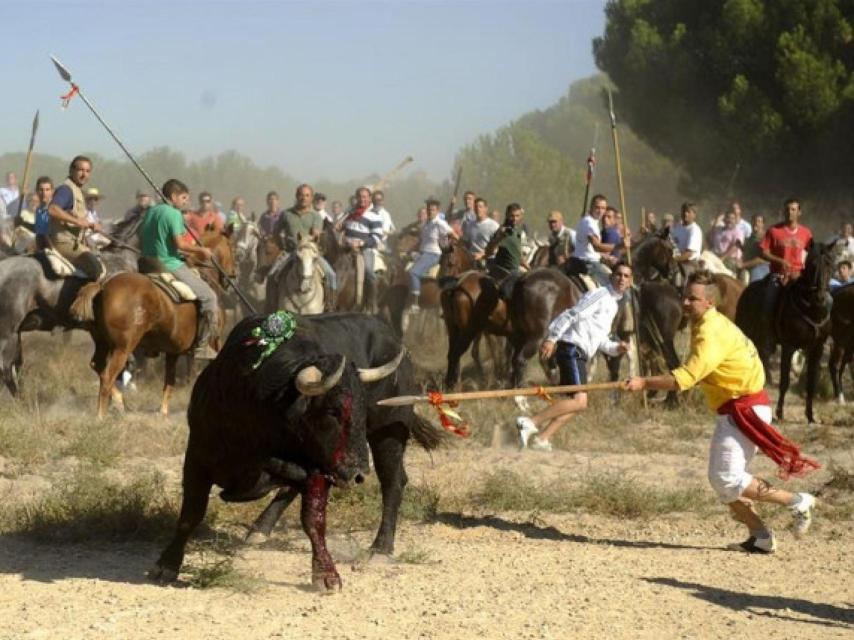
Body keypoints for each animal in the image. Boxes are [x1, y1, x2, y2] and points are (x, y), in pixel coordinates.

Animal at [70, 232, 236, 418]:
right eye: (232, 247)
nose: (233, 274)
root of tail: (102, 285)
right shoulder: (215, 342)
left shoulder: (173, 351)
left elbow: (169, 381)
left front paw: (163, 411)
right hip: (122, 348)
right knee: (107, 376)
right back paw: (101, 415)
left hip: (102, 342)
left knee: (97, 366)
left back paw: (118, 402)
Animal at [736, 242, 836, 422]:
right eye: (812, 264)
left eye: (830, 264)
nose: (820, 297)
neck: (811, 309)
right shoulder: (789, 346)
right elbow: (784, 381)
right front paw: (780, 413)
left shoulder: (816, 349)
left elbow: (811, 383)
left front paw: (810, 416)